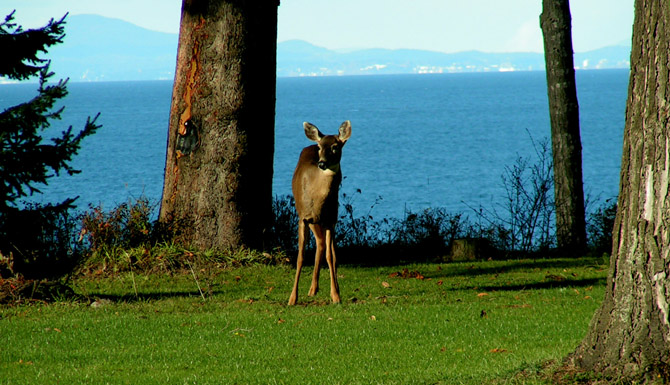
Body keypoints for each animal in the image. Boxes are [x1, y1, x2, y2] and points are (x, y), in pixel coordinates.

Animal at [288, 120, 354, 306]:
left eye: (335, 147)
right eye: (320, 147)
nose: (322, 164)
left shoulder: (331, 219)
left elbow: (330, 257)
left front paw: (336, 296)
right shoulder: (303, 217)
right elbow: (300, 257)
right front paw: (292, 298)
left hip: (330, 218)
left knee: (327, 248)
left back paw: (321, 288)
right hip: (312, 220)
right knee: (320, 243)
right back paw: (312, 289)